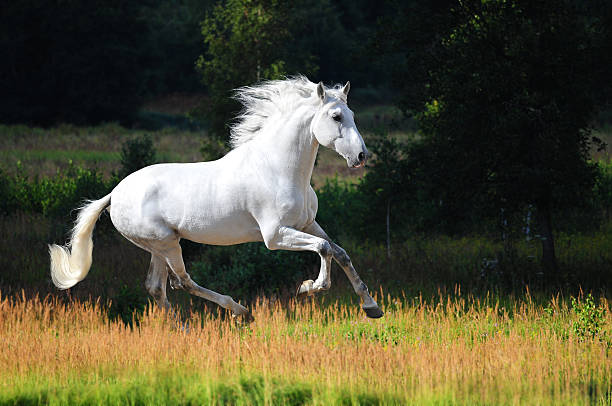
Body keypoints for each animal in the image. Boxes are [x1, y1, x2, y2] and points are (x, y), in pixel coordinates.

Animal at [49, 77, 382, 320]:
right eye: (336, 116)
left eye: (352, 115)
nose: (361, 156)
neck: (277, 168)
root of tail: (115, 194)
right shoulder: (274, 236)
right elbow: (324, 249)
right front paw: (310, 287)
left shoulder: (307, 224)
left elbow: (339, 252)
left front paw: (371, 306)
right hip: (166, 243)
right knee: (181, 281)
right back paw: (240, 312)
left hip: (159, 246)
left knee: (157, 288)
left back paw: (184, 330)